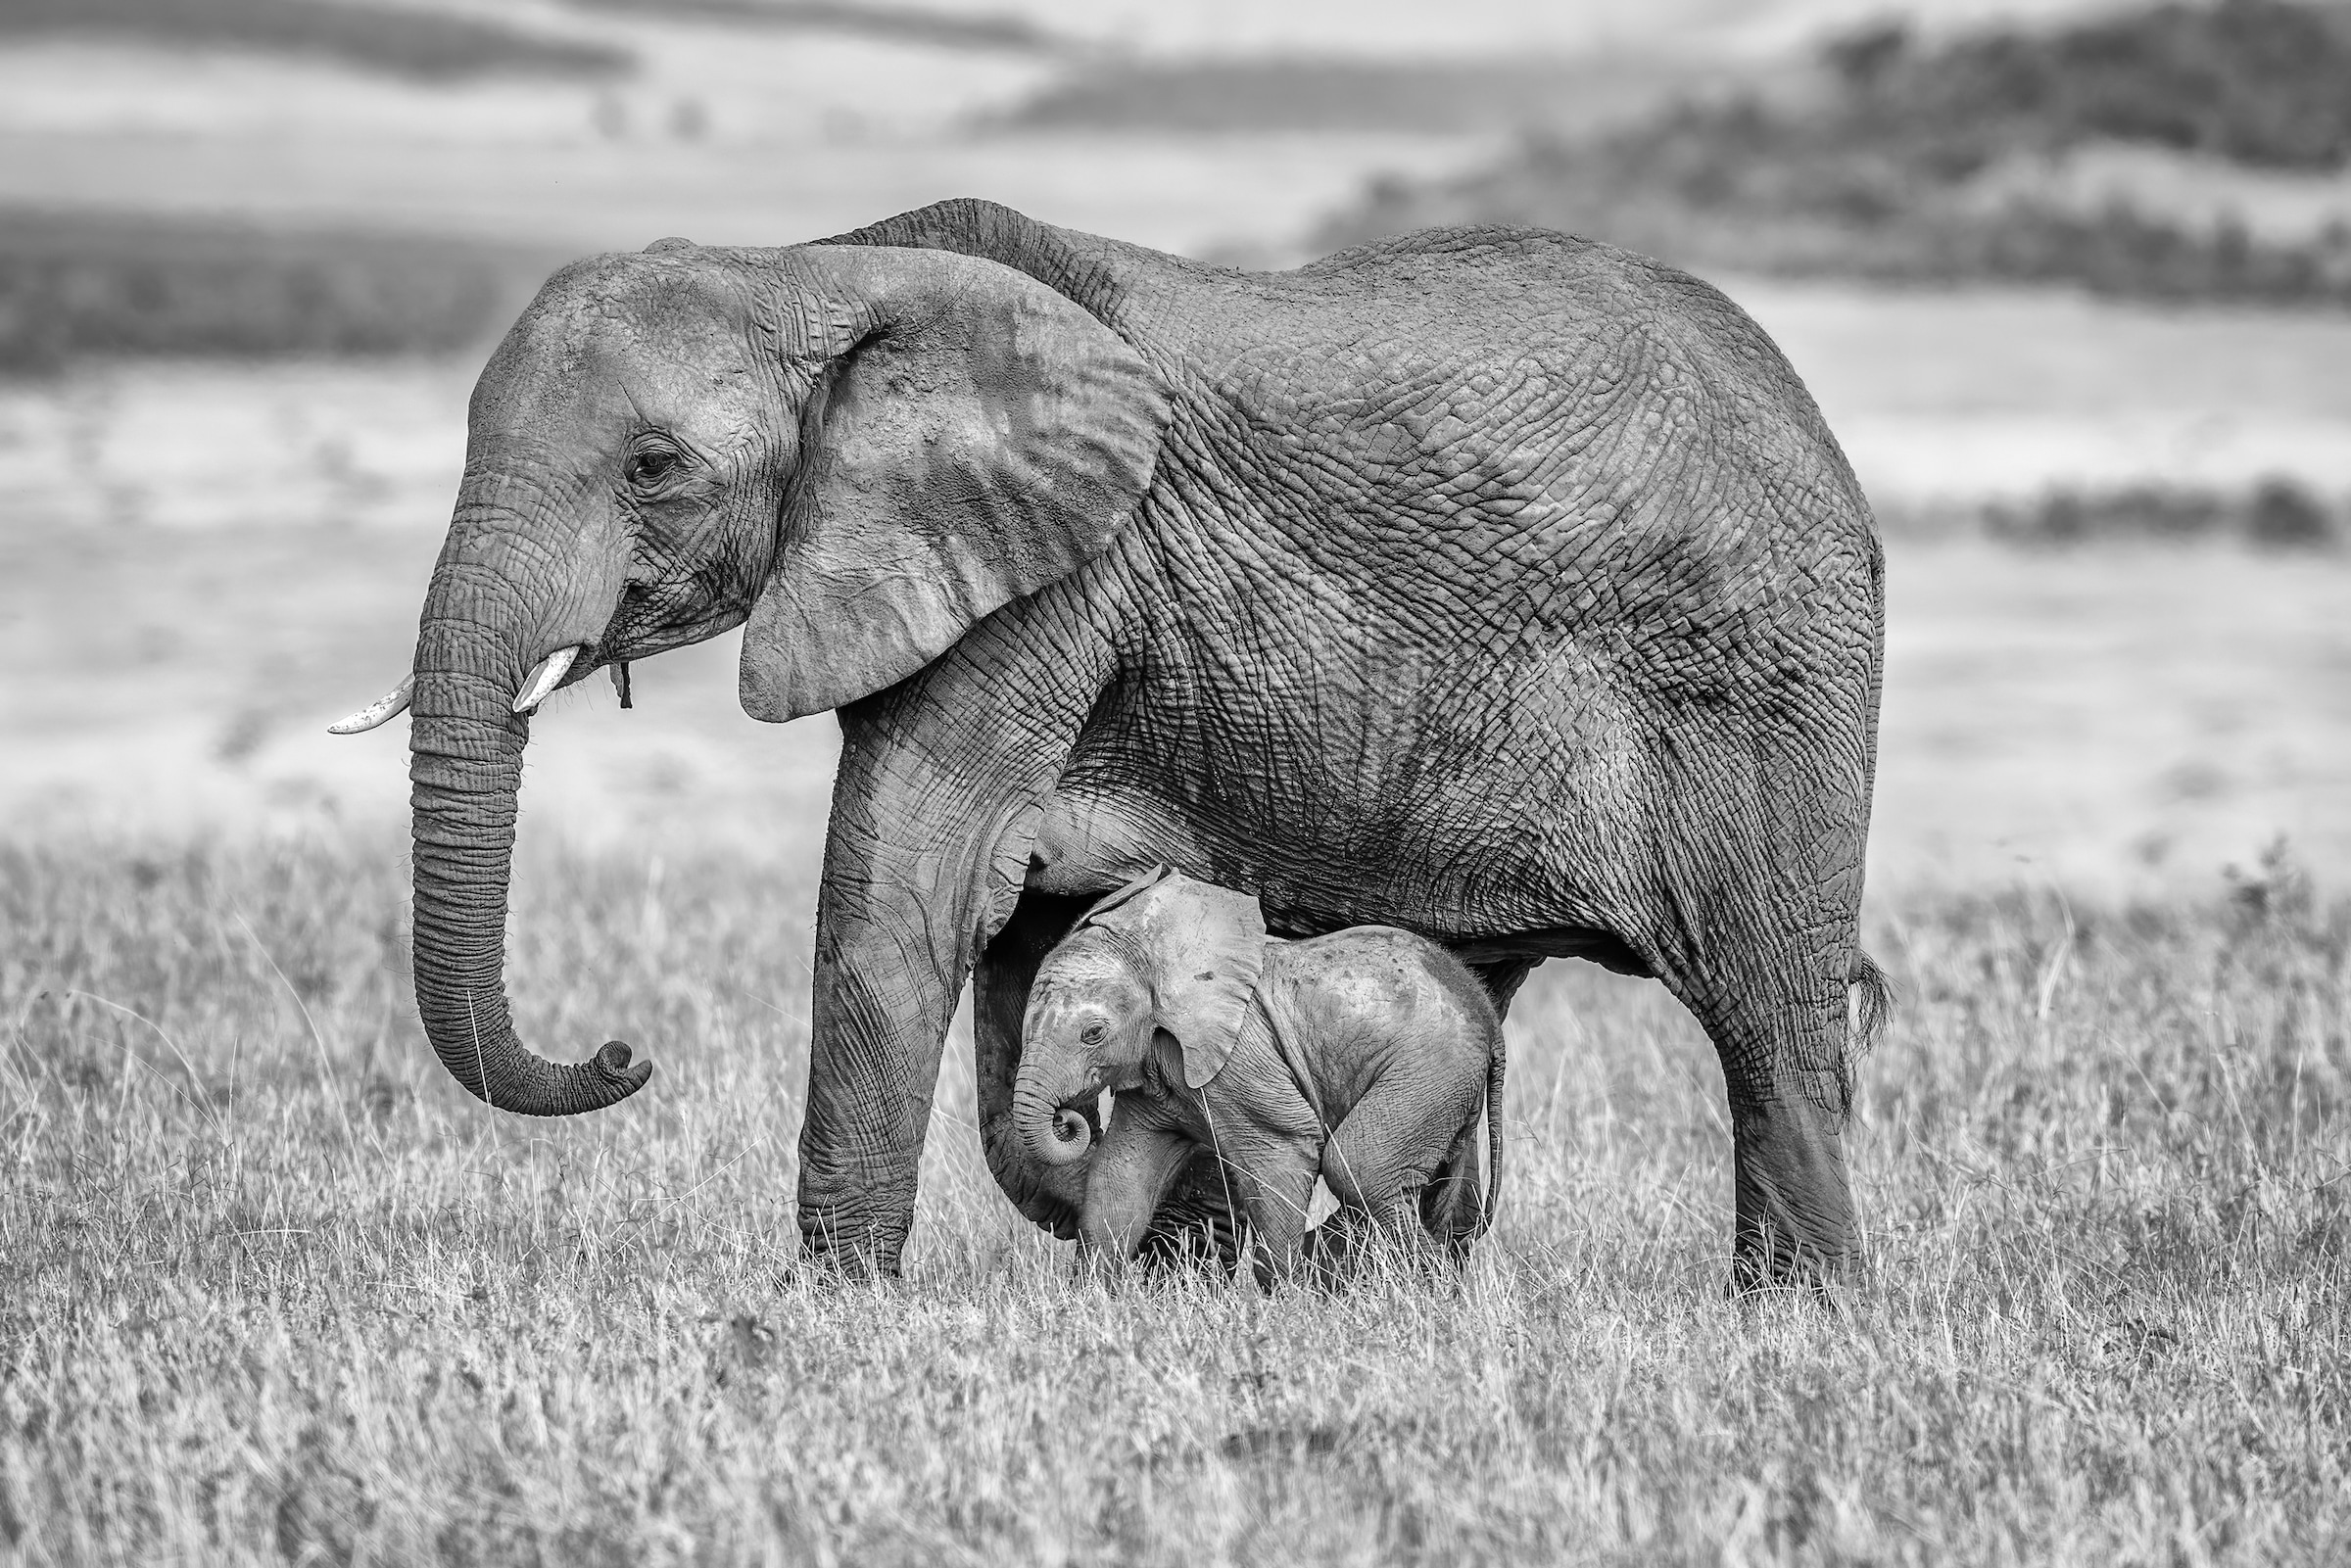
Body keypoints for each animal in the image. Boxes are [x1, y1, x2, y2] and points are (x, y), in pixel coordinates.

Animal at [1015, 870, 1505, 1288]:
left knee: (1360, 1165)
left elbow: (1281, 1155)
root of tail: (1485, 1008)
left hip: (1429, 1066)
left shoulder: (1241, 1062)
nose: (1068, 1119)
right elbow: (1120, 1176)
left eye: (1093, 1033)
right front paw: (1089, 1299)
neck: (1155, 957)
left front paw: (1287, 1303)